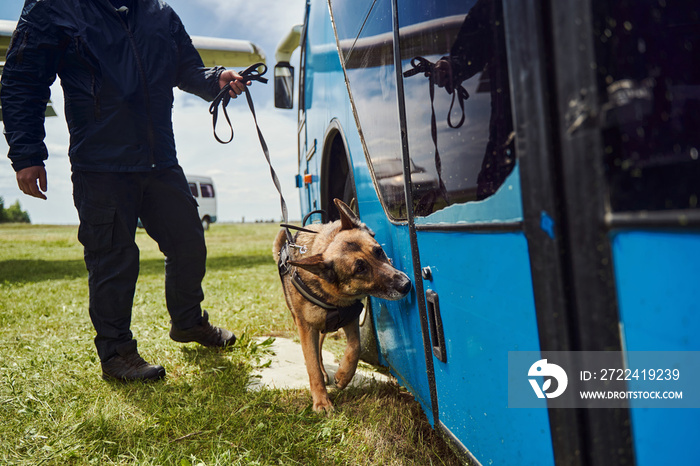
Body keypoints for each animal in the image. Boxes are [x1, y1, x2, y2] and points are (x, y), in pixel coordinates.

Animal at [274, 199, 412, 412]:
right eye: (360, 269)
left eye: (379, 251)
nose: (406, 284)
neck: (333, 296)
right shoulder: (306, 328)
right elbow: (312, 365)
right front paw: (321, 401)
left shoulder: (351, 317)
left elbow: (355, 346)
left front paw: (344, 376)